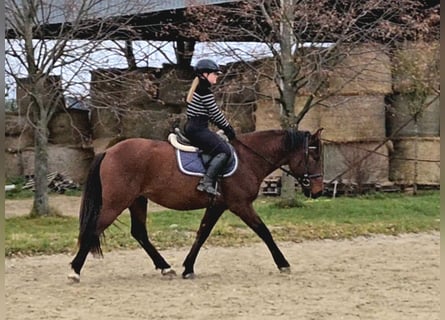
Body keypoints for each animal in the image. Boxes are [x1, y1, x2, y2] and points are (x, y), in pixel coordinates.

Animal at [67, 128, 322, 282]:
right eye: (315, 156)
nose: (318, 191)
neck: (248, 158)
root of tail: (109, 150)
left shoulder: (217, 205)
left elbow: (202, 233)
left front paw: (188, 268)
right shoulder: (240, 205)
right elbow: (264, 231)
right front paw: (283, 264)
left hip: (137, 201)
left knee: (139, 233)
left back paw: (165, 267)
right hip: (116, 202)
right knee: (94, 229)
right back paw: (75, 270)